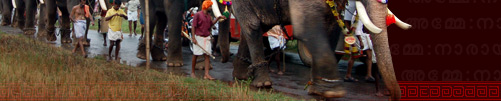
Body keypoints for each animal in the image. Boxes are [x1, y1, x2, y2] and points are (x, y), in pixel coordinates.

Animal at [230, 0, 410, 99]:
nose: (390, 97)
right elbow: (308, 26)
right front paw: (333, 93)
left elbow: (330, 26)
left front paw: (319, 91)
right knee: (253, 27)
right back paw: (263, 83)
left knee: (259, 27)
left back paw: (242, 75)